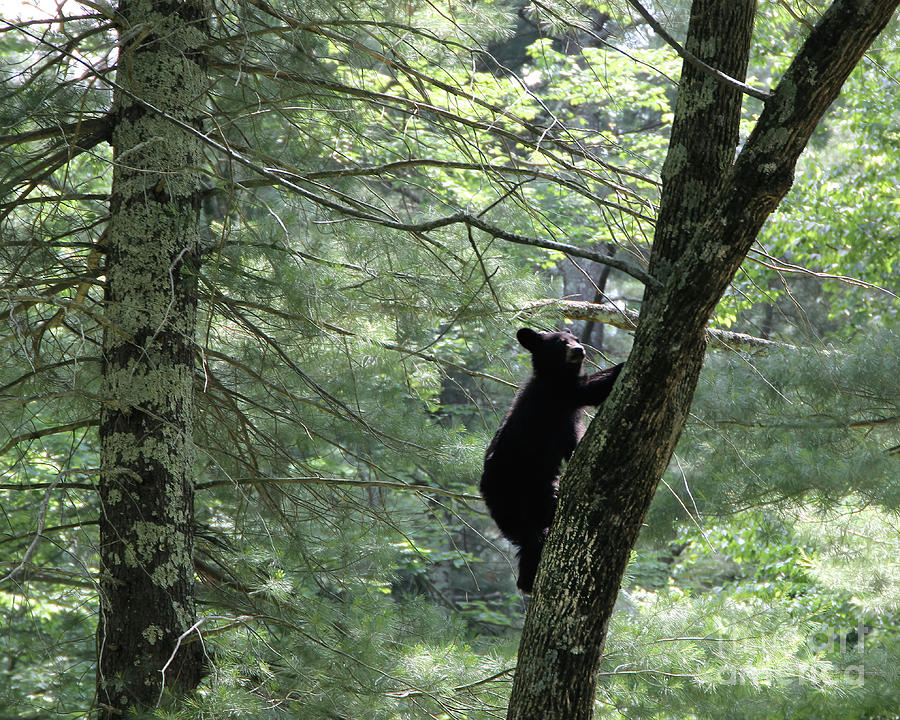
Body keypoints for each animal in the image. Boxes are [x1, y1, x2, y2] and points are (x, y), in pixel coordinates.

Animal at [482, 326, 624, 592]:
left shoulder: (568, 419)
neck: (555, 375)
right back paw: (528, 578)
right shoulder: (556, 397)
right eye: (560, 343)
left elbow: (575, 442)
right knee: (530, 536)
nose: (579, 350)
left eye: (576, 339)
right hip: (513, 496)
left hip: (540, 492)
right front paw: (620, 366)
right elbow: (588, 389)